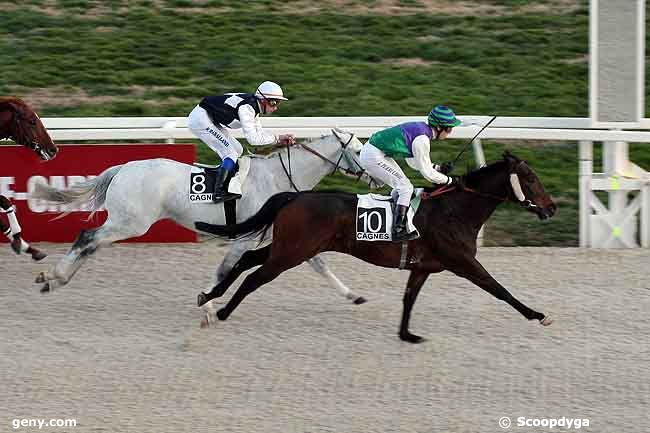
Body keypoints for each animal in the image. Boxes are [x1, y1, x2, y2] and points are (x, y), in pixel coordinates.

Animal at [195, 152, 556, 344]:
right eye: (531, 179)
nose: (551, 208)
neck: (455, 210)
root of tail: (295, 196)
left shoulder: (423, 267)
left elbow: (409, 298)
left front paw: (407, 334)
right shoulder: (463, 262)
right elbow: (499, 289)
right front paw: (538, 315)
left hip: (290, 249)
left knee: (247, 259)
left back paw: (209, 297)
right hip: (291, 253)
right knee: (254, 276)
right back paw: (222, 310)